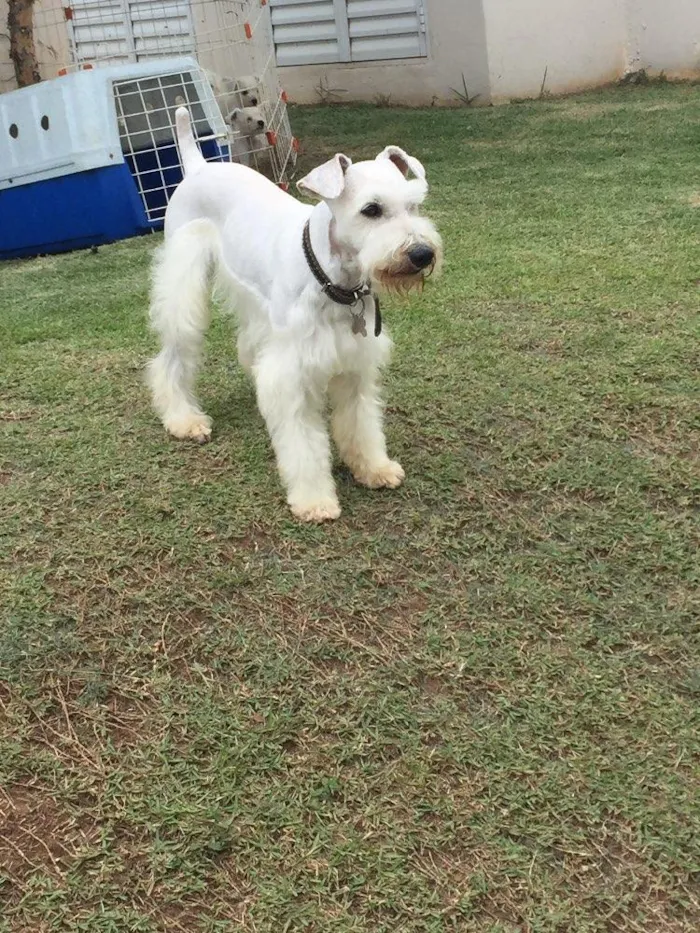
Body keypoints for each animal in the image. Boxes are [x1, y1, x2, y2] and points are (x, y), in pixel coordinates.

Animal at [148, 107, 442, 524]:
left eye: (414, 204)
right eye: (371, 210)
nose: (421, 254)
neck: (332, 278)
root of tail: (198, 166)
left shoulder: (354, 361)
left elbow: (361, 423)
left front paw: (373, 467)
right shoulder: (293, 374)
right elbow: (304, 445)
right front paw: (314, 499)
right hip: (183, 287)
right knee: (173, 356)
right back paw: (183, 419)